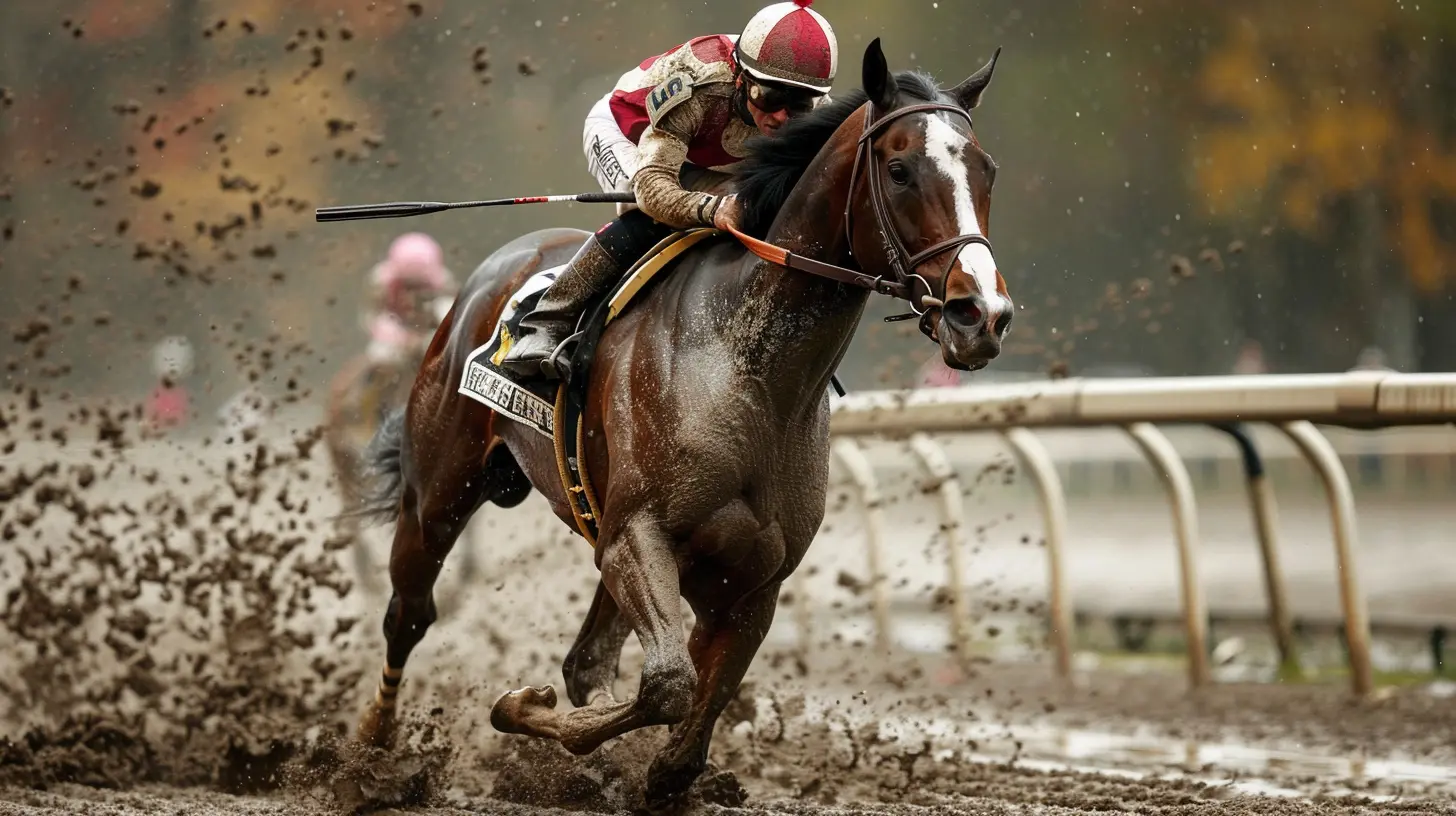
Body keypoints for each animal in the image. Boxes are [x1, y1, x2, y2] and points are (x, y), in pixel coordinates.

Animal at [350, 39, 1012, 807]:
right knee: (409, 612)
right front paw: (520, 706)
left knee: (584, 659)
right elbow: (667, 685)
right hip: (438, 493)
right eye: (901, 170)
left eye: (987, 169)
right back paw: (370, 753)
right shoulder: (637, 536)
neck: (748, 370)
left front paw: (630, 766)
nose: (981, 314)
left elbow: (684, 734)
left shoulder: (750, 581)